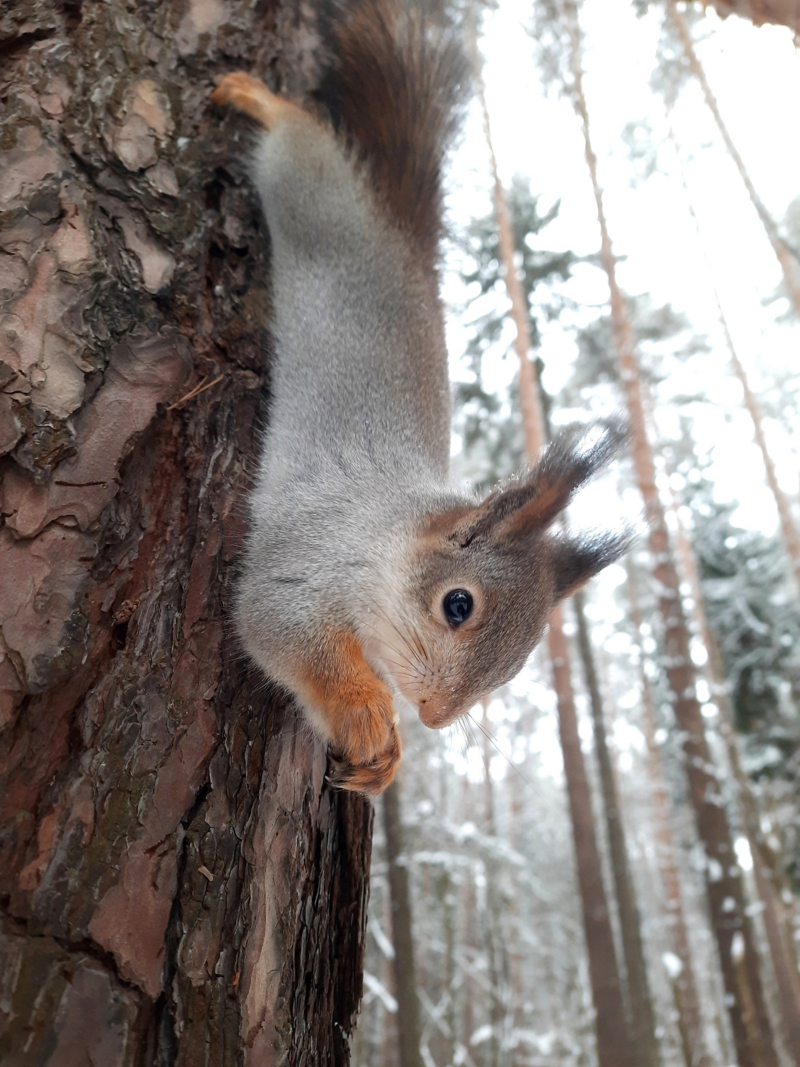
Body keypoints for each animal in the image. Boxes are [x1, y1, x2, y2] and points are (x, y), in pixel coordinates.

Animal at [214, 0, 631, 798]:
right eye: (457, 605)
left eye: (518, 666)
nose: (437, 717)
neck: (385, 534)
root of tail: (399, 234)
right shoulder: (303, 558)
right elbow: (278, 627)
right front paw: (368, 715)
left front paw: (392, 758)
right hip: (310, 193)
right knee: (299, 140)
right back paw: (256, 97)